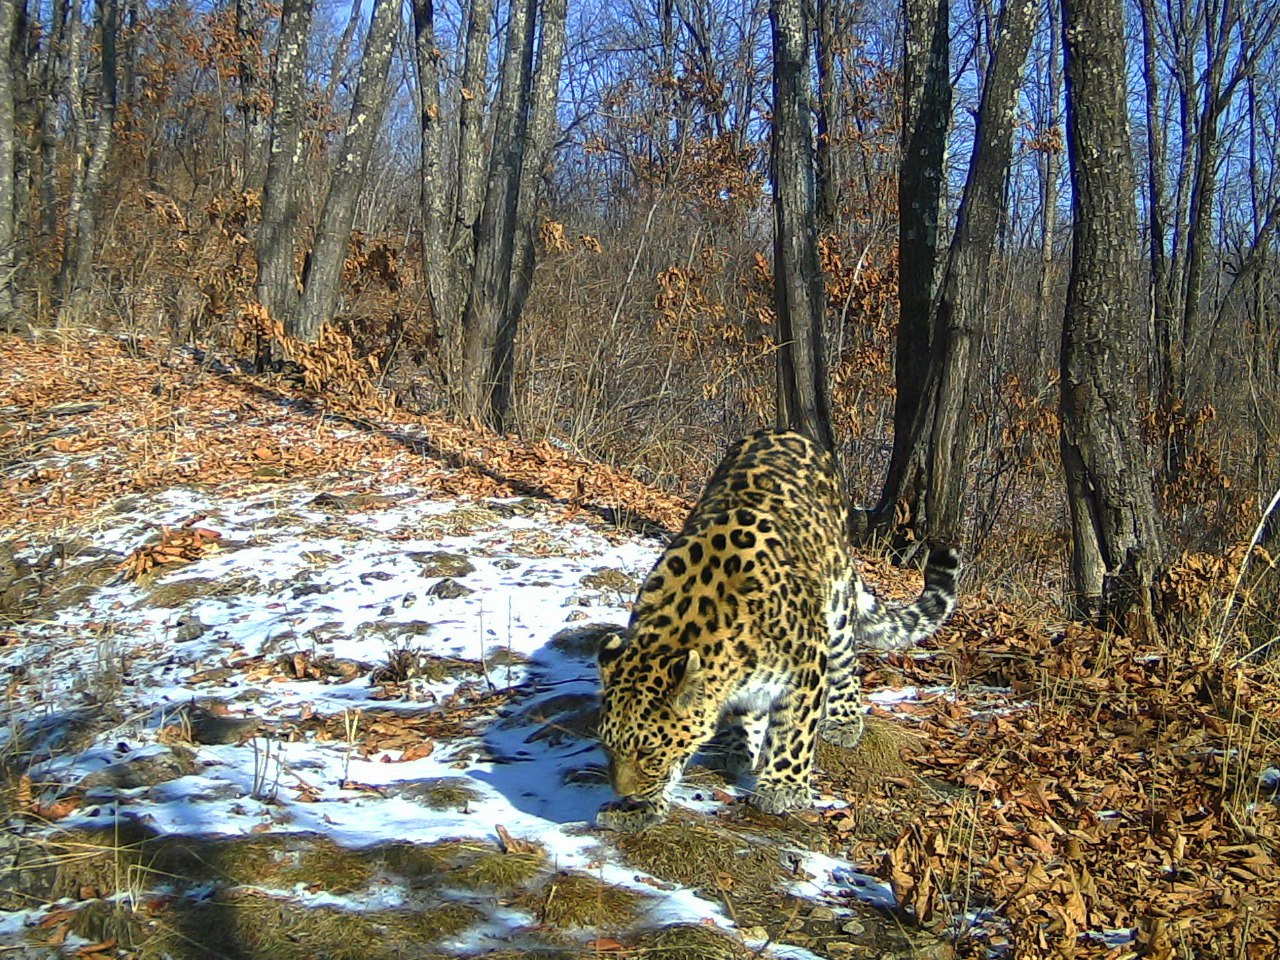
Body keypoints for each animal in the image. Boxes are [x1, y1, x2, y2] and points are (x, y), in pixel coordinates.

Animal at [593, 432, 957, 829]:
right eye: (608, 746)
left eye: (649, 751)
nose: (625, 792)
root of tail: (786, 432)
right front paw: (639, 807)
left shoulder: (807, 666)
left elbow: (794, 732)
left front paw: (783, 788)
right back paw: (737, 746)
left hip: (837, 605)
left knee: (846, 664)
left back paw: (844, 721)